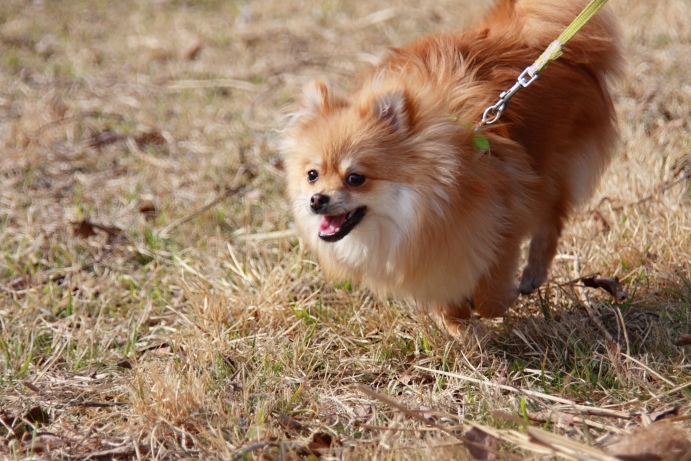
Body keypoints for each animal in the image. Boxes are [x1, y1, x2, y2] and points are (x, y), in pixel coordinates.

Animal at [282, 0, 620, 332]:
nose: (316, 199)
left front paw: (500, 302)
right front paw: (460, 324)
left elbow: (489, 295)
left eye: (355, 178)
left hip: (554, 170)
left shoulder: (500, 226)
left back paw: (532, 275)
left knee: (551, 220)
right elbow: (448, 304)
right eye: (312, 175)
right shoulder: (434, 258)